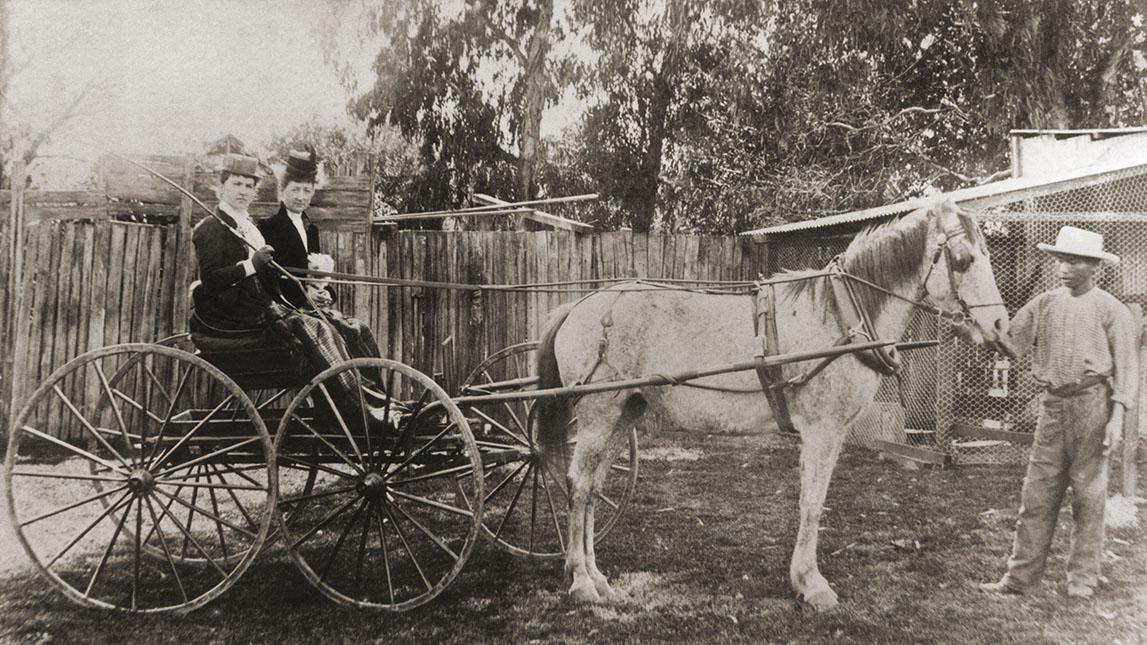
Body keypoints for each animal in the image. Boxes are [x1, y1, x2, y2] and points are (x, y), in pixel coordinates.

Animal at [532, 198, 1009, 610]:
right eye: (963, 259)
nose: (1001, 326)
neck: (841, 316)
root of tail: (581, 304)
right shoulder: (822, 430)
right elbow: (812, 502)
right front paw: (812, 583)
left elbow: (812, 500)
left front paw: (803, 579)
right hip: (598, 416)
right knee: (578, 486)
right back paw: (580, 582)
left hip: (623, 413)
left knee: (593, 489)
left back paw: (597, 577)